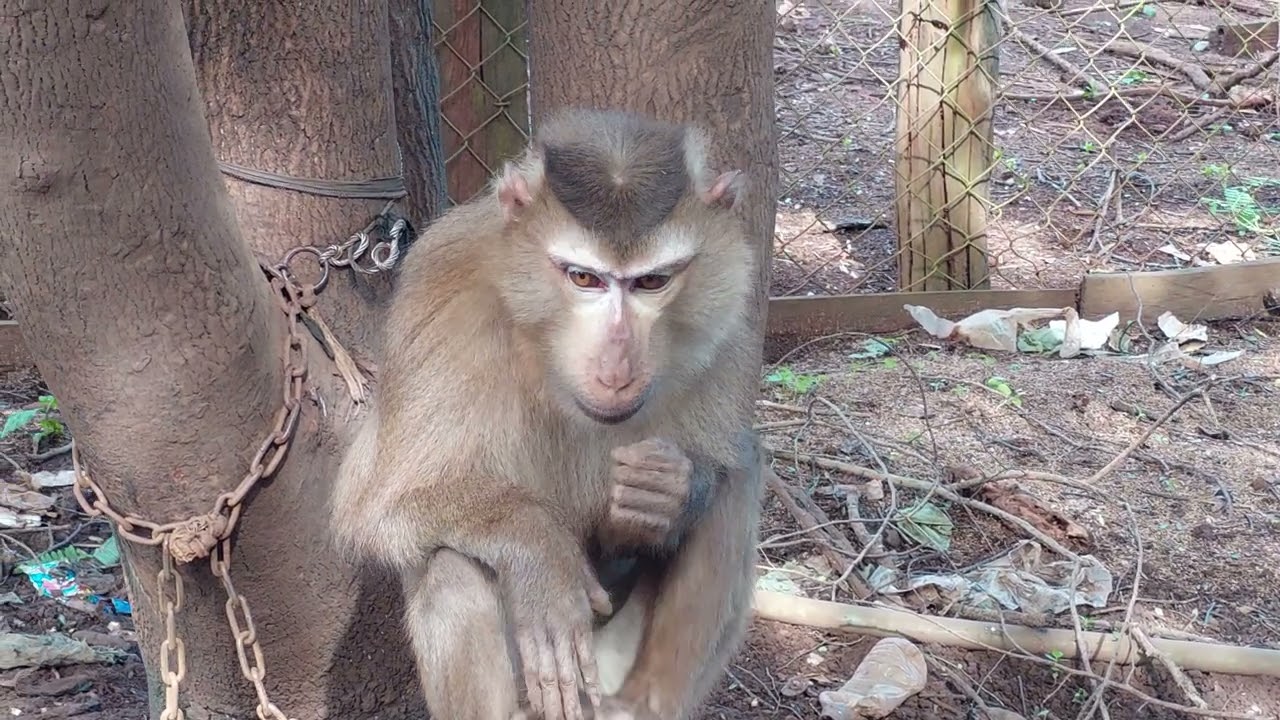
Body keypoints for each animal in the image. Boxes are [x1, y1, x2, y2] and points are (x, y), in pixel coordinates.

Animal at [328, 107, 764, 720]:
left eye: (653, 281)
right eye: (583, 277)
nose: (615, 367)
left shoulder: (726, 329)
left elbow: (712, 471)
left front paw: (668, 491)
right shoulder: (440, 305)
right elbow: (374, 506)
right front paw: (540, 554)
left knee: (738, 480)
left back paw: (644, 704)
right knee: (447, 564)